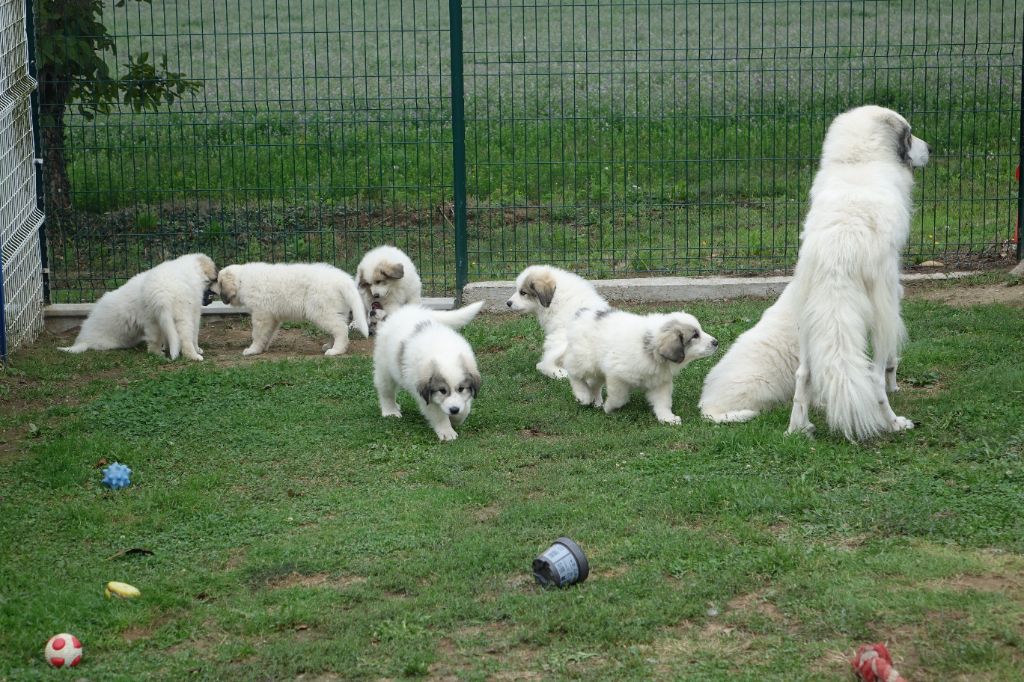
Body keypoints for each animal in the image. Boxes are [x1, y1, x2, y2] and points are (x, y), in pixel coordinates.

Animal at [60, 251, 217, 360]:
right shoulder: (193, 311)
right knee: (185, 338)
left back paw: (158, 353)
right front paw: (197, 349)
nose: (210, 299)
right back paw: (193, 356)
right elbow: (194, 334)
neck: (192, 267)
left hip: (152, 319)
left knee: (154, 341)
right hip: (178, 316)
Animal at [218, 260, 370, 356]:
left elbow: (258, 334)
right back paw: (330, 345)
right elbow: (268, 334)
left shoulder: (261, 315)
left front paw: (252, 350)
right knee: (336, 329)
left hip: (321, 310)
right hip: (336, 311)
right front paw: (262, 348)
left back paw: (336, 350)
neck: (242, 280)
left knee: (341, 329)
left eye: (219, 284)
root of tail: (343, 280)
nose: (220, 298)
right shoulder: (272, 317)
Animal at [372, 299, 483, 438]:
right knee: (386, 392)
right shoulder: (426, 396)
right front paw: (447, 431)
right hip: (385, 368)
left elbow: (465, 408)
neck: (444, 353)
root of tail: (405, 311)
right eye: (442, 390)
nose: (454, 410)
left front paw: (456, 418)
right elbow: (438, 414)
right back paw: (390, 411)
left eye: (461, 389)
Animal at [561, 309, 720, 425]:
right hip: (585, 360)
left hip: (597, 369)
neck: (651, 350)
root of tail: (582, 313)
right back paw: (583, 396)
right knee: (574, 374)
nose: (716, 342)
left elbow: (663, 402)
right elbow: (619, 398)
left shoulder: (660, 382)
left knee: (594, 384)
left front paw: (667, 418)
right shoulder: (616, 376)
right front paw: (609, 407)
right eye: (695, 336)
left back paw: (596, 401)